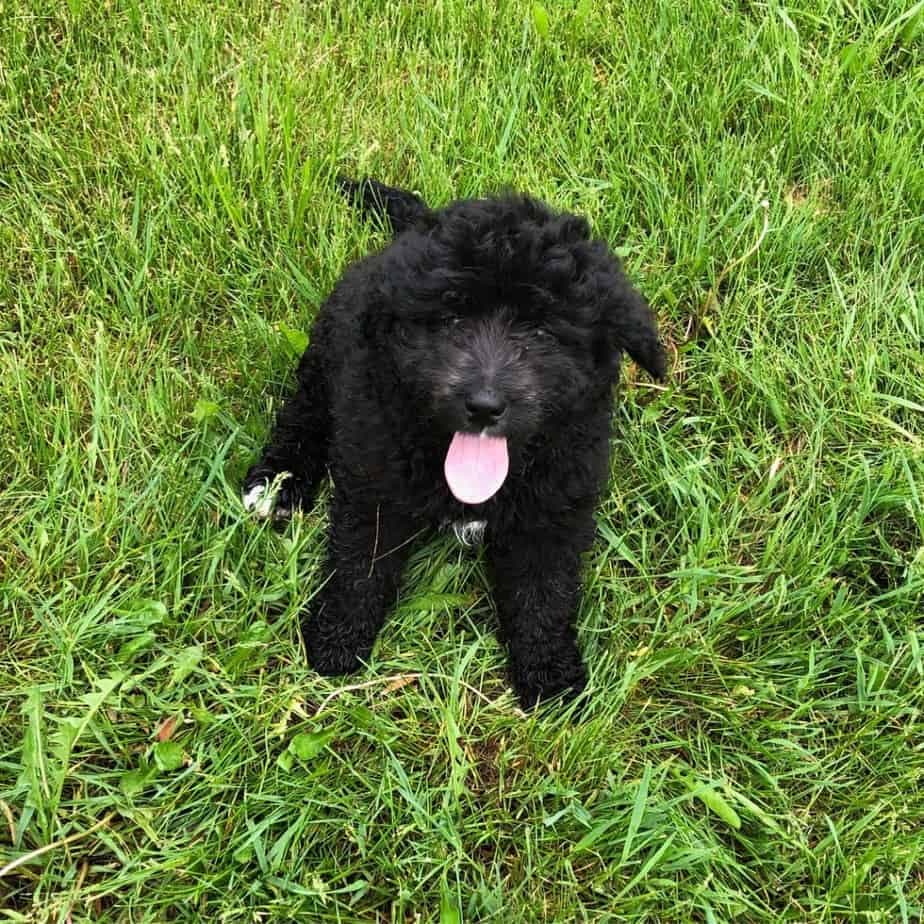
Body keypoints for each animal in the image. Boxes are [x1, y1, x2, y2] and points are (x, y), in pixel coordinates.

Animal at [244, 177, 664, 704]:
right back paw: (277, 483)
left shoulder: (552, 507)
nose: (484, 405)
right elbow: (360, 563)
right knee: (305, 412)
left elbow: (543, 591)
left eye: (542, 331)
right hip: (327, 358)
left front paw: (549, 675)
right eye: (451, 320)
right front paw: (336, 640)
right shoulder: (376, 481)